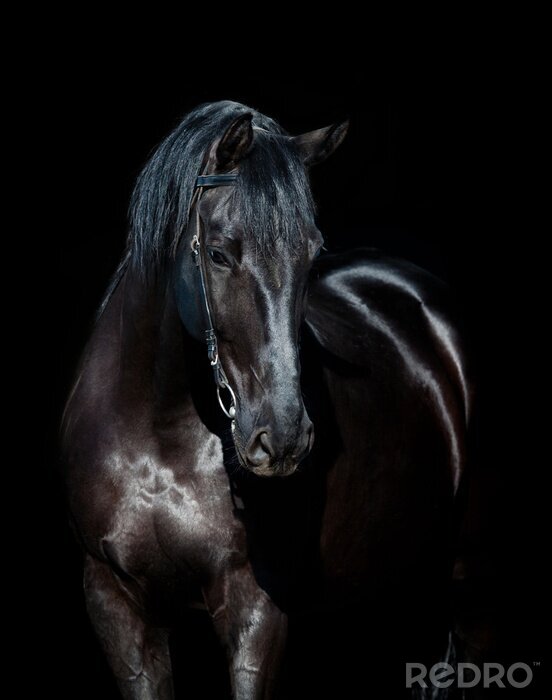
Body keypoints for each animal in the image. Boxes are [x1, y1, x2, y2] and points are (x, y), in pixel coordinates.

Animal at [61, 100, 473, 699]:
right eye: (217, 254)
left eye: (311, 254)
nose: (282, 438)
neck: (158, 437)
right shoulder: (115, 602)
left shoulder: (256, 606)